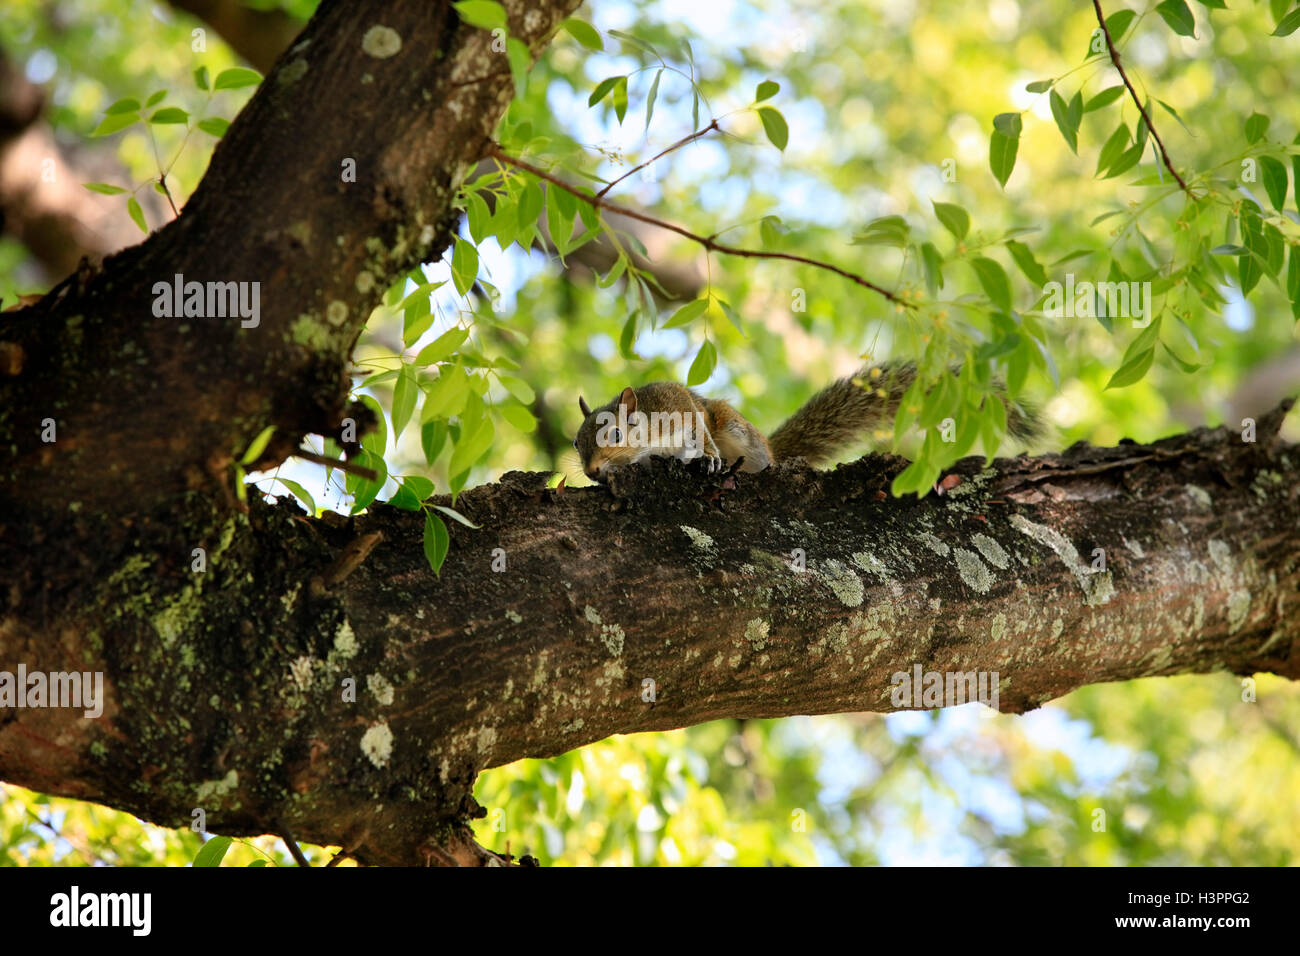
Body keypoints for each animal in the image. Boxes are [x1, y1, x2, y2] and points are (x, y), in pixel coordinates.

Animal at [572, 362, 1040, 482]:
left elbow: (700, 435)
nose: (592, 473)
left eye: (616, 432)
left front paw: (705, 458)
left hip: (738, 431)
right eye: (576, 445)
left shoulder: (681, 407)